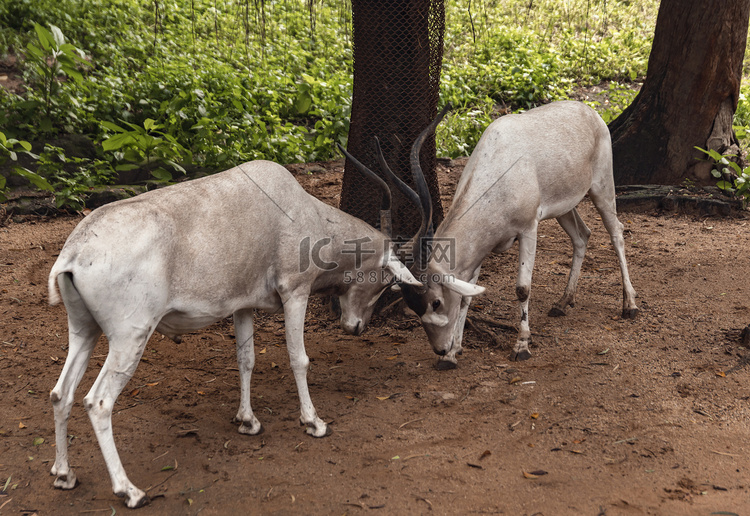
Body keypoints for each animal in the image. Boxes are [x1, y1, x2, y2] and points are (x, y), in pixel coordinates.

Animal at [47, 159, 424, 506]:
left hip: (84, 331)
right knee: (98, 402)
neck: (305, 211)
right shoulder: (295, 292)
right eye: (387, 280)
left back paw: (64, 475)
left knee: (60, 393)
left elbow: (246, 360)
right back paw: (129, 490)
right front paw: (314, 422)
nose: (357, 326)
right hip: (129, 338)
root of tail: (74, 252)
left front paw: (248, 421)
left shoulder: (242, 306)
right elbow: (298, 359)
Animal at [382, 100, 640, 366]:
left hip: (601, 186)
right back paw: (562, 302)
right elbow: (467, 295)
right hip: (564, 207)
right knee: (582, 236)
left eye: (436, 302)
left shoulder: (528, 229)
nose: (440, 349)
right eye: (413, 305)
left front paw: (521, 346)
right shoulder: (482, 245)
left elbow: (522, 288)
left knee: (616, 232)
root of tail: (589, 111)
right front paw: (454, 354)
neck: (497, 169)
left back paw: (629, 305)